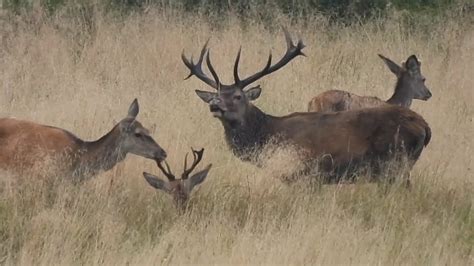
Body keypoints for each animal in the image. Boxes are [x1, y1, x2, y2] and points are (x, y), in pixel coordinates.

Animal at [182, 28, 434, 183]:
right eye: (216, 94)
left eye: (238, 96)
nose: (215, 104)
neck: (269, 134)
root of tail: (425, 126)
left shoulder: (303, 172)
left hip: (396, 162)